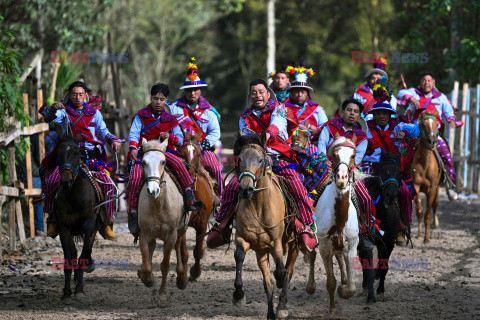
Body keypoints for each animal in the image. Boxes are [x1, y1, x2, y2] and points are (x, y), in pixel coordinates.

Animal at [137, 137, 189, 304]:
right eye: (144, 162)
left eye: (163, 161)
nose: (153, 190)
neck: (159, 206)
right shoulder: (143, 233)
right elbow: (147, 263)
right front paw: (147, 278)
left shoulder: (171, 235)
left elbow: (165, 265)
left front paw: (162, 295)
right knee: (152, 247)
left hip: (180, 230)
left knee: (178, 247)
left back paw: (181, 278)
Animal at [178, 129, 216, 280]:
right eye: (181, 153)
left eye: (199, 153)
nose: (189, 173)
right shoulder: (181, 225)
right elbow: (184, 252)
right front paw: (184, 271)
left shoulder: (202, 224)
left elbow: (198, 250)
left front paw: (195, 272)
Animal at [233, 131, 300, 318]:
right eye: (240, 159)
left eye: (260, 160)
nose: (246, 189)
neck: (259, 207)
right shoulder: (243, 238)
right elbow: (239, 256)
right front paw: (238, 295)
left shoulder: (276, 242)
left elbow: (282, 272)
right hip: (261, 252)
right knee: (268, 282)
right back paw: (271, 313)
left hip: (294, 244)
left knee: (288, 271)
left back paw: (282, 306)